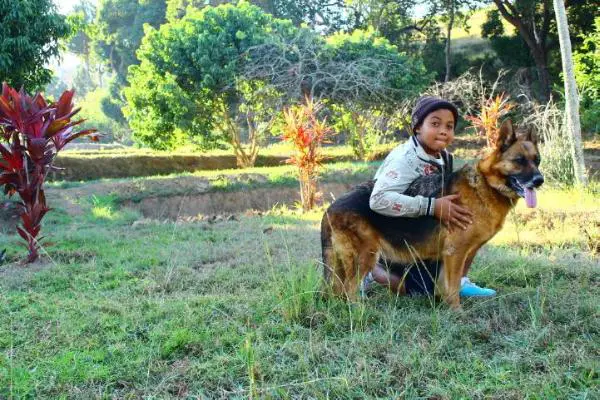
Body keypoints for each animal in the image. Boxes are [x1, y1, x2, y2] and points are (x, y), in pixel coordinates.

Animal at [324, 119, 544, 310]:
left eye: (537, 161)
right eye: (519, 160)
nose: (539, 180)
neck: (486, 184)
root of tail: (330, 207)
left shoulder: (458, 253)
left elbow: (448, 285)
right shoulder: (456, 252)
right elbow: (453, 286)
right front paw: (457, 313)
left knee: (339, 289)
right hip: (366, 256)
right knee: (350, 288)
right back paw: (360, 311)